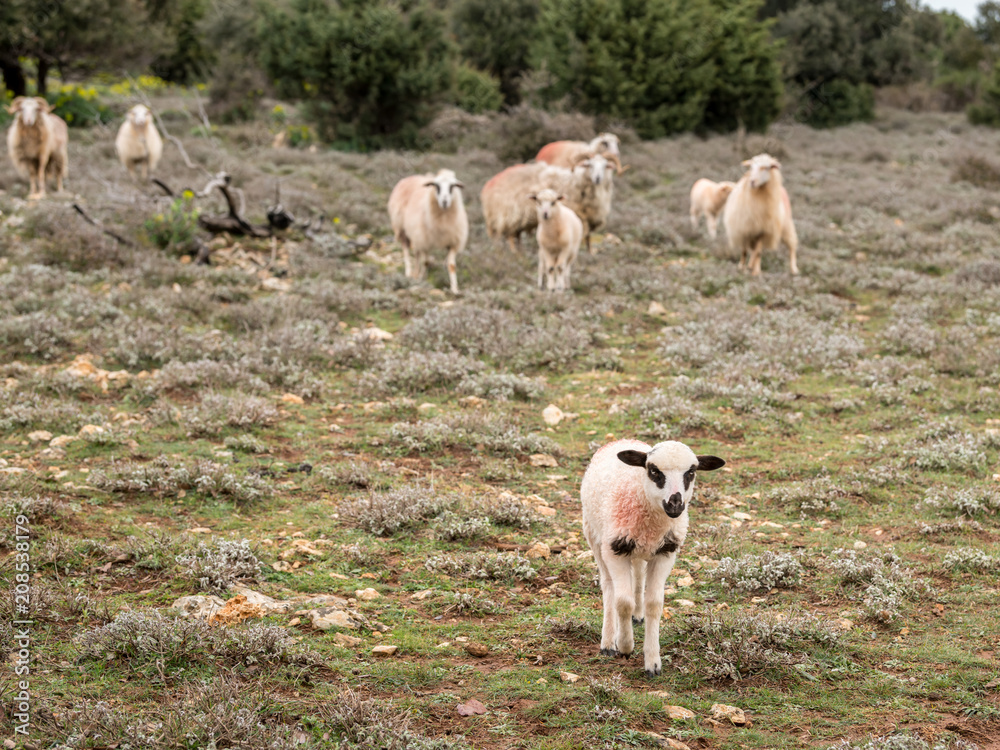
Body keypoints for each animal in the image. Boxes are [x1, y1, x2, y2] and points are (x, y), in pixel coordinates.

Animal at [580, 439, 725, 677]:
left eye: (691, 472)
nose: (675, 503)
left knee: (638, 576)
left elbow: (654, 604)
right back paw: (608, 641)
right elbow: (622, 602)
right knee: (609, 587)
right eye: (654, 470)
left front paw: (653, 662)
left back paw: (637, 616)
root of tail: (623, 440)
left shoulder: (666, 553)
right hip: (595, 536)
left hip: (639, 550)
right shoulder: (614, 550)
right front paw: (625, 645)